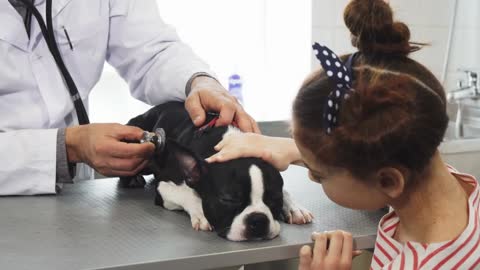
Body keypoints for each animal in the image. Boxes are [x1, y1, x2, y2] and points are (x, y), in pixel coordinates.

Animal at [121, 102, 312, 242]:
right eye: (228, 199)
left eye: (275, 199)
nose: (258, 220)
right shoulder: (164, 188)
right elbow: (188, 193)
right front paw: (201, 214)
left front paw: (294, 207)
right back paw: (132, 178)